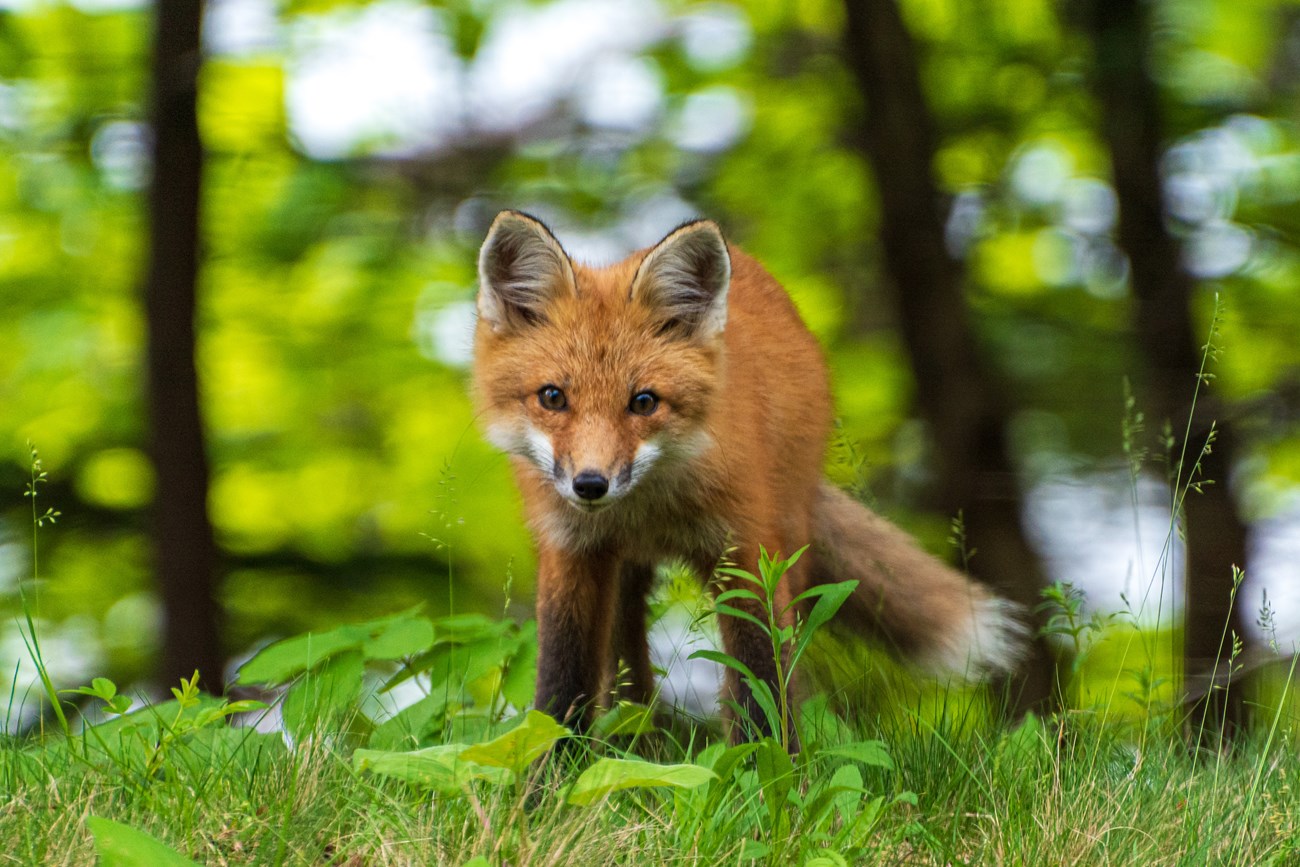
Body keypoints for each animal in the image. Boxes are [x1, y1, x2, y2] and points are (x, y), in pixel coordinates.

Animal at [470, 210, 1024, 738]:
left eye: (643, 402)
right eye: (552, 397)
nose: (590, 484)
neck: (647, 509)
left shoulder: (747, 549)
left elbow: (761, 683)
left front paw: (771, 768)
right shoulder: (572, 554)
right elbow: (561, 689)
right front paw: (550, 774)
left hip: (789, 541)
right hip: (621, 582)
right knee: (627, 678)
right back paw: (637, 745)